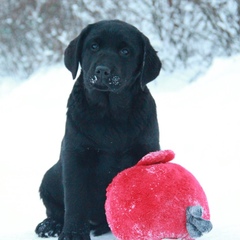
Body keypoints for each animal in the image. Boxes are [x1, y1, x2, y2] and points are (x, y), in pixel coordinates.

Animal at [35, 20, 161, 240]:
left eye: (125, 51)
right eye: (93, 46)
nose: (102, 71)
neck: (110, 114)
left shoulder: (146, 150)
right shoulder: (76, 155)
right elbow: (75, 200)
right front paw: (73, 234)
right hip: (49, 177)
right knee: (56, 211)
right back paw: (49, 225)